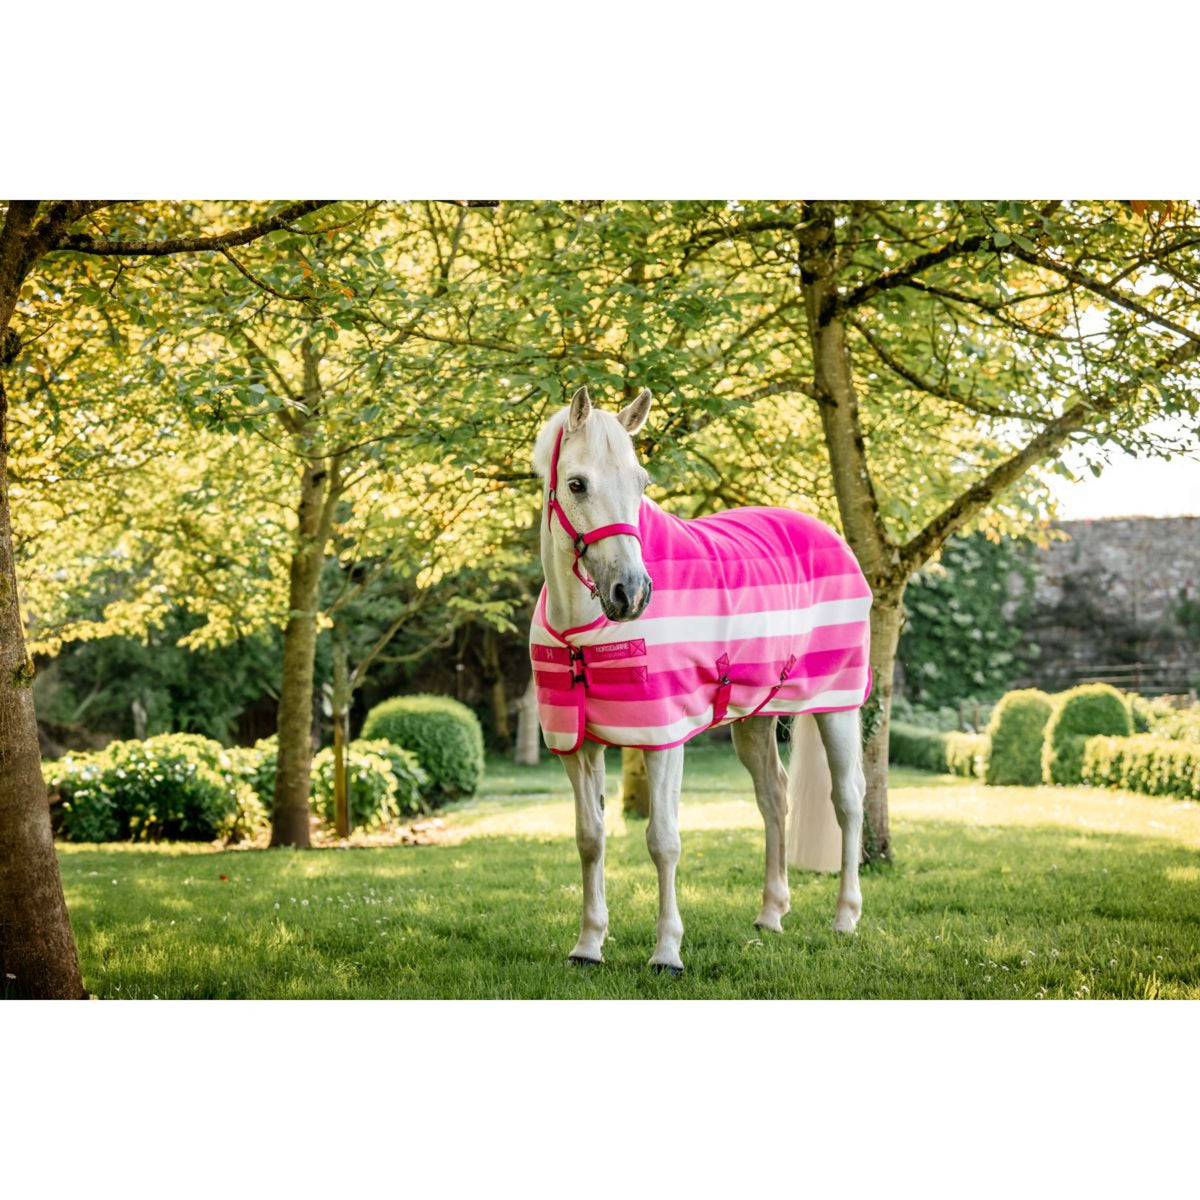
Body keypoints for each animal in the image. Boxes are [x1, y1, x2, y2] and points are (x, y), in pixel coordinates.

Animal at [529, 386, 871, 975]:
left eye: (641, 483)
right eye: (576, 484)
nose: (632, 592)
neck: (582, 632)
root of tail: (829, 533)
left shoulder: (664, 738)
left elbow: (663, 841)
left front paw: (667, 952)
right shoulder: (577, 745)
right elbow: (590, 839)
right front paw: (588, 945)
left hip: (838, 706)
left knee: (848, 798)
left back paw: (846, 917)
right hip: (754, 719)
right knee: (773, 797)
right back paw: (770, 914)